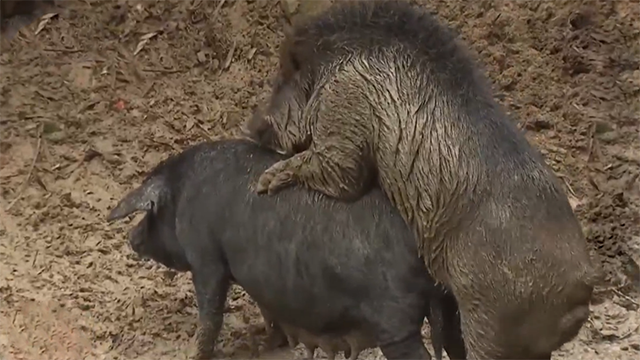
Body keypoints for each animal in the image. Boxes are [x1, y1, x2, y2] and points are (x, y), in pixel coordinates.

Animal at [106, 139, 464, 360]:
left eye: (151, 213)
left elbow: (210, 312)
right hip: (449, 305)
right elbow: (268, 310)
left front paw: (196, 354)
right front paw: (269, 342)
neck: (183, 194)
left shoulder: (206, 258)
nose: (132, 237)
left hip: (395, 320)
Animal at [245, 0, 600, 360]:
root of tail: (581, 289)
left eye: (280, 81)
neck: (329, 66)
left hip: (493, 325)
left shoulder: (343, 110)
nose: (252, 125)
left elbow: (340, 173)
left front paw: (264, 182)